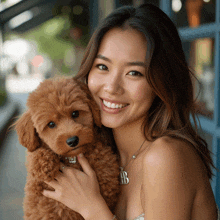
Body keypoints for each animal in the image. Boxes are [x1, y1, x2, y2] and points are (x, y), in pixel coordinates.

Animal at [15, 77, 119, 220]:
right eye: (51, 124)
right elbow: (34, 153)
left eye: (75, 113)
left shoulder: (108, 182)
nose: (72, 140)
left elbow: (105, 169)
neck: (72, 159)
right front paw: (43, 166)